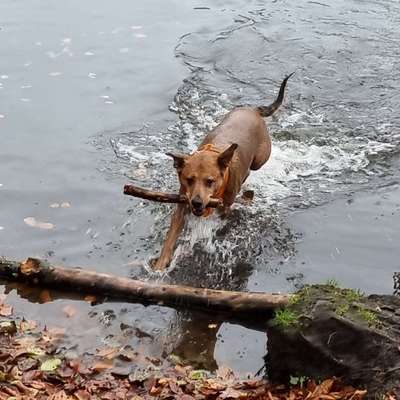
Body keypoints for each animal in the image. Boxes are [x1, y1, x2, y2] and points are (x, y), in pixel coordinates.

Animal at [153, 73, 294, 270]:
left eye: (210, 181)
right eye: (189, 179)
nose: (197, 202)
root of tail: (253, 110)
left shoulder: (224, 207)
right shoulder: (182, 204)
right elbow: (171, 235)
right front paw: (160, 264)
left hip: (260, 158)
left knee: (252, 168)